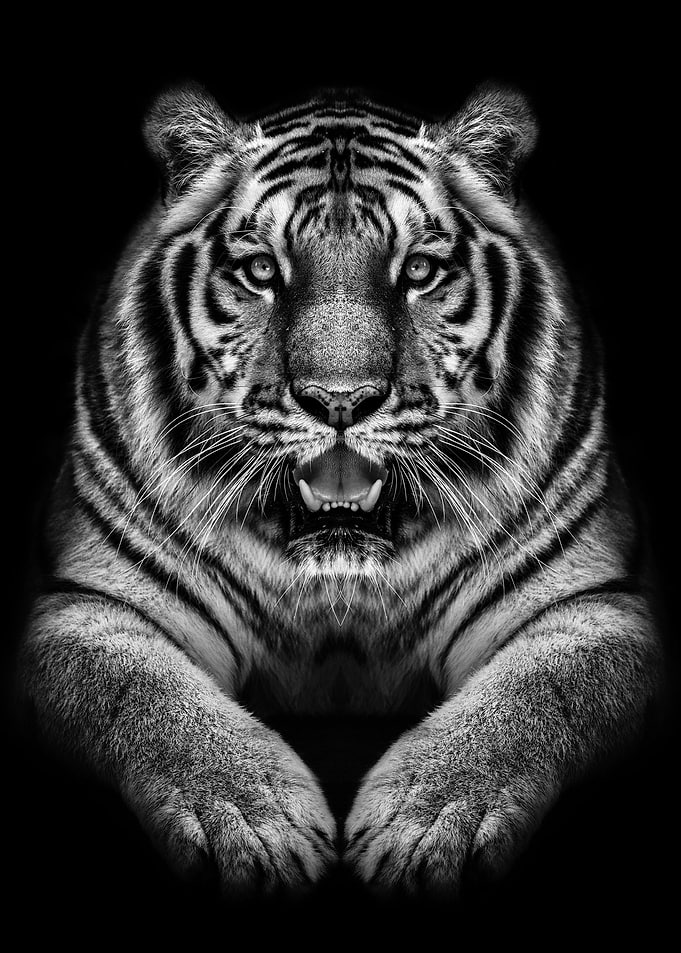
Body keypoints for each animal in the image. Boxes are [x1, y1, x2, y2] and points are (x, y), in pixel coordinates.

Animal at [18, 81, 661, 895]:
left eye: (418, 272)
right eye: (262, 271)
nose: (340, 401)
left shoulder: (590, 605)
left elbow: (537, 694)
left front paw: (423, 823)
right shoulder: (90, 605)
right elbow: (142, 694)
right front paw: (256, 822)